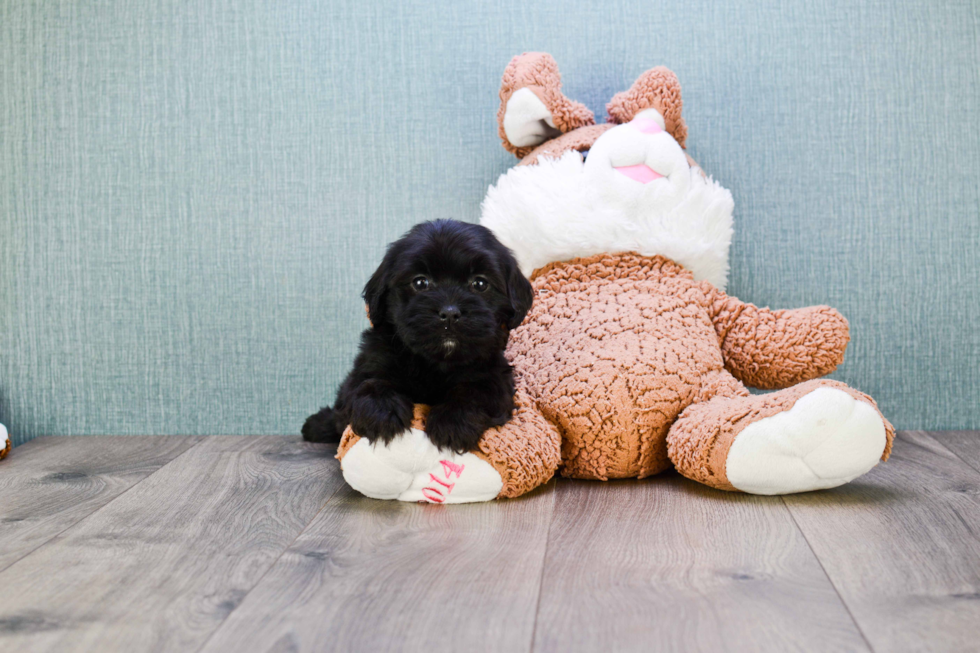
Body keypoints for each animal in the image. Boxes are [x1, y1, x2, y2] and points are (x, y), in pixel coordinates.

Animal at [306, 219, 536, 454]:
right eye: (420, 283)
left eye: (480, 283)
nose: (450, 313)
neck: (436, 362)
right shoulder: (372, 359)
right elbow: (368, 382)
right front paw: (381, 412)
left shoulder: (495, 376)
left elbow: (477, 392)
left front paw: (453, 421)